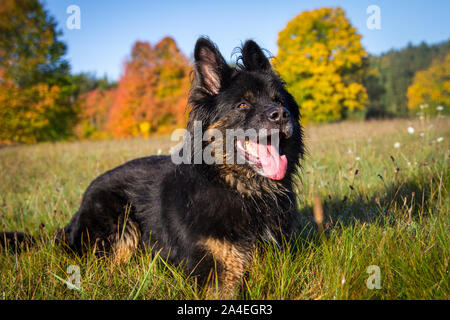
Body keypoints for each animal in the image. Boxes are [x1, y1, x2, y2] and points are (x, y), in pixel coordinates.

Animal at [1, 37, 304, 298]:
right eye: (242, 104)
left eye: (278, 100)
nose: (281, 115)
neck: (241, 189)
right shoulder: (218, 276)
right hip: (120, 217)